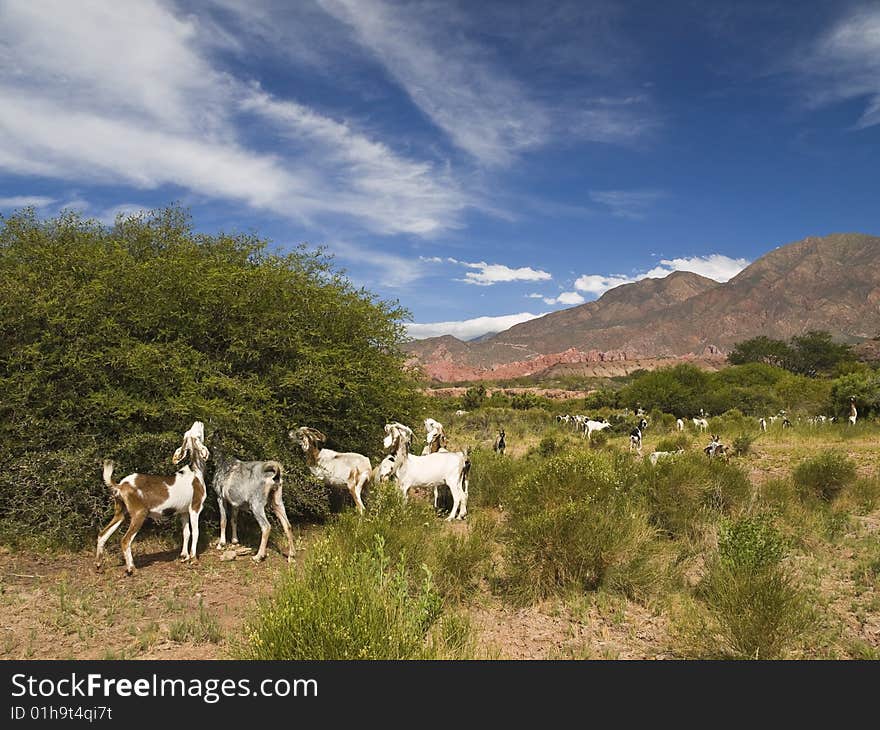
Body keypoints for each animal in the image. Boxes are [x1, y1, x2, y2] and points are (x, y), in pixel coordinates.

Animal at [95, 420, 210, 576]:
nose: (198, 421)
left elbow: (186, 532)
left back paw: (99, 566)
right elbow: (196, 532)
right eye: (197, 435)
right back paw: (131, 568)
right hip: (139, 514)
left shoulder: (183, 512)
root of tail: (121, 485)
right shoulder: (195, 508)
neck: (195, 471)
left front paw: (184, 556)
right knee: (125, 540)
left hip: (120, 512)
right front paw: (193, 559)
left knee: (102, 535)